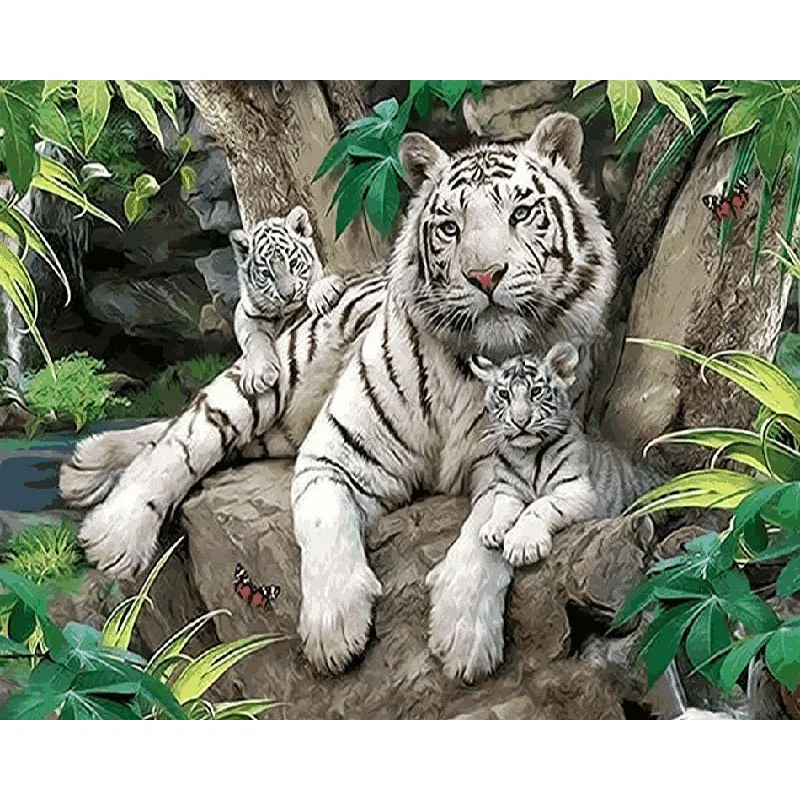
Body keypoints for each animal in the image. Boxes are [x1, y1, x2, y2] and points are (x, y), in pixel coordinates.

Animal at [230, 205, 345, 394]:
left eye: (292, 263)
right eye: (267, 273)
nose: (288, 294)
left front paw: (323, 294)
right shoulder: (245, 311)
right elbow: (254, 336)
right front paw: (259, 374)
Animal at [469, 342, 662, 567]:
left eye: (536, 391)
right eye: (504, 394)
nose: (520, 421)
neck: (526, 454)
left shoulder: (578, 490)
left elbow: (539, 506)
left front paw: (522, 544)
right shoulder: (509, 488)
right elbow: (502, 506)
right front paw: (492, 528)